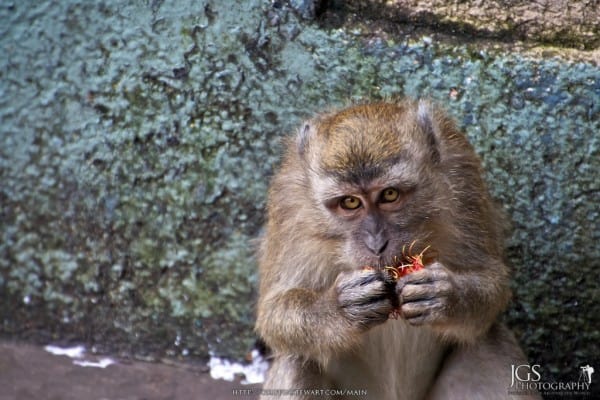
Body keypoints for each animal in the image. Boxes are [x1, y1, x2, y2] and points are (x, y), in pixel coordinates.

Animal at [253, 100, 540, 400]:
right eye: (350, 202)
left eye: (389, 195)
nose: (376, 243)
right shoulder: (288, 203)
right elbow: (274, 312)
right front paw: (340, 308)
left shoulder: (463, 178)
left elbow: (491, 280)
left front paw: (444, 295)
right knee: (297, 358)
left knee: (489, 342)